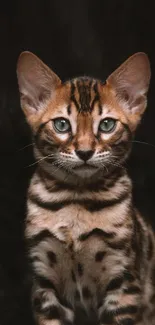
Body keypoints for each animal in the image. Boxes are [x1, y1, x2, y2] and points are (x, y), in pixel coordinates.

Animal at [17, 51, 155, 324]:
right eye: (61, 125)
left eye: (106, 125)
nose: (84, 151)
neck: (75, 199)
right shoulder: (44, 282)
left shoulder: (123, 283)